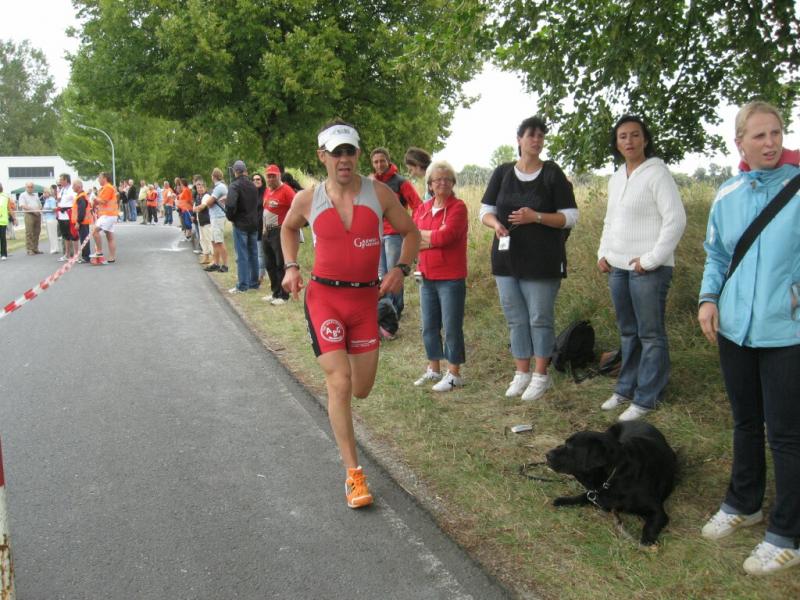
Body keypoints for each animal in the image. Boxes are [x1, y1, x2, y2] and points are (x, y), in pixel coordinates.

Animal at [545, 421, 677, 545]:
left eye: (570, 446)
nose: (547, 454)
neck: (612, 477)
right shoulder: (596, 494)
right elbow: (583, 496)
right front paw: (564, 500)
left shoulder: (658, 512)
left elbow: (650, 526)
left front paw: (646, 541)